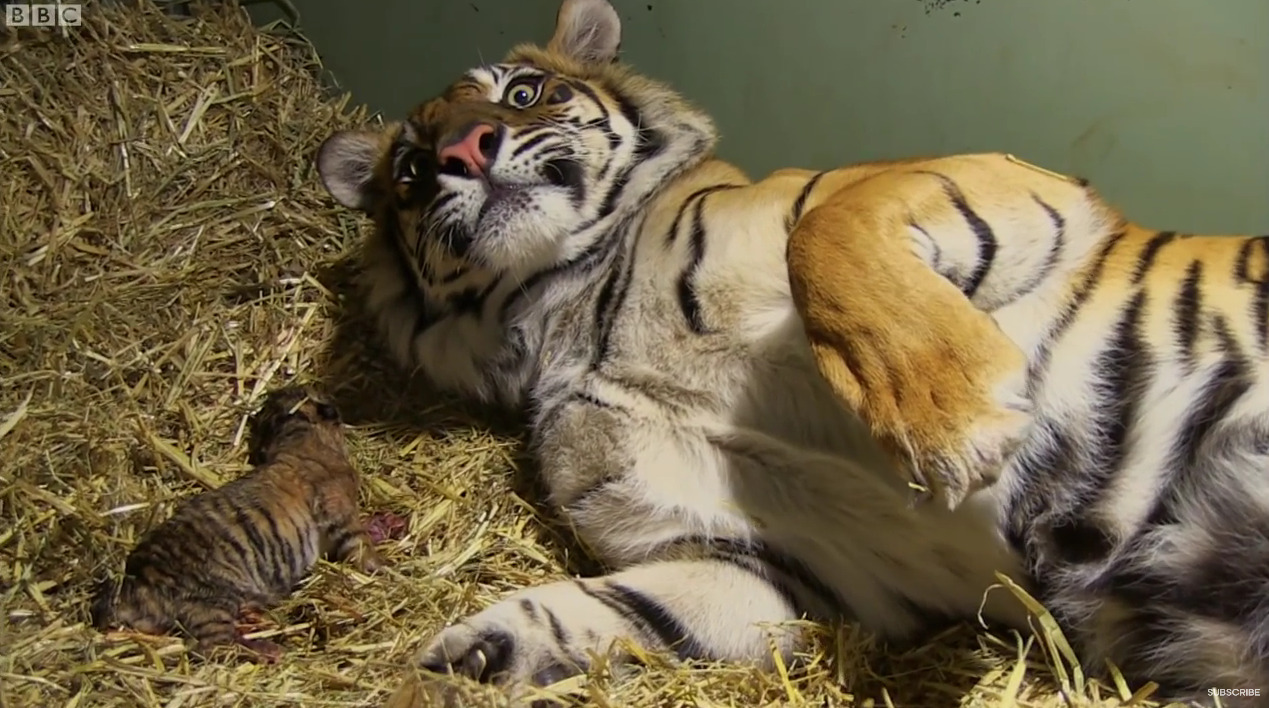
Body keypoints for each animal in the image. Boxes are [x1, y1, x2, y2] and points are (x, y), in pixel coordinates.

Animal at [312, 0, 1263, 705]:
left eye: (521, 93)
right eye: (408, 170)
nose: (459, 151)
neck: (566, 311)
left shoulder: (1002, 182)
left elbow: (824, 234)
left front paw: (953, 424)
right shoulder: (780, 565)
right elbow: (622, 609)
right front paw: (466, 664)